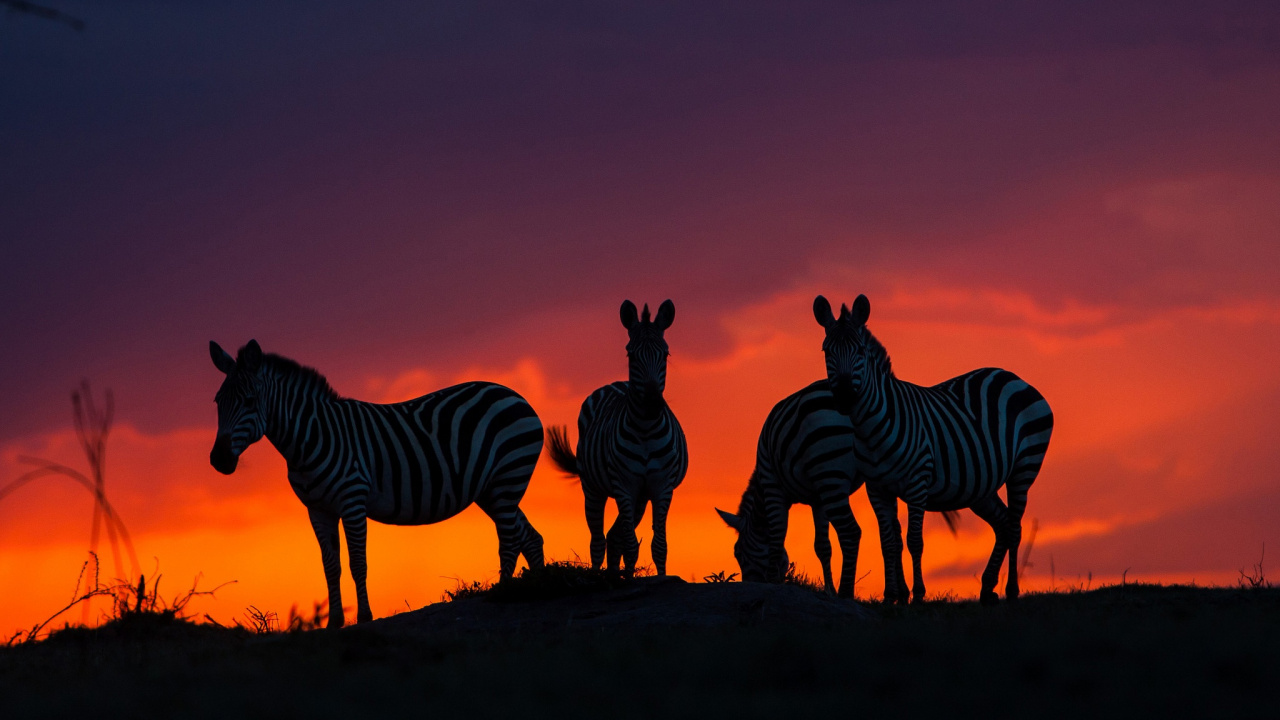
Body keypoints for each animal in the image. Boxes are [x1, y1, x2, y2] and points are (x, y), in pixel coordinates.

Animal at [208, 339, 545, 627]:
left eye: (250, 401)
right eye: (217, 402)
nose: (219, 460)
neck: (310, 438)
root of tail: (513, 393)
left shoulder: (352, 499)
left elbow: (358, 563)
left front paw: (364, 618)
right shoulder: (318, 509)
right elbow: (331, 566)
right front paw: (334, 623)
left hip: (507, 477)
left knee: (510, 540)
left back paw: (503, 593)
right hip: (493, 489)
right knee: (530, 537)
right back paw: (536, 588)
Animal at [545, 299, 688, 576]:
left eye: (665, 354)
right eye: (631, 355)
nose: (652, 403)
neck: (646, 429)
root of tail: (616, 383)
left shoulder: (661, 486)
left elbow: (659, 545)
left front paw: (660, 578)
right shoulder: (624, 486)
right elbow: (630, 546)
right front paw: (630, 579)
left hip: (640, 497)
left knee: (614, 537)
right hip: (593, 489)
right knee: (599, 540)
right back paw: (601, 576)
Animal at [714, 380, 865, 597]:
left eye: (738, 553)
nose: (750, 585)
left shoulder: (772, 487)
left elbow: (776, 542)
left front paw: (773, 584)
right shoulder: (818, 500)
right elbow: (822, 547)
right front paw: (829, 592)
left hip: (830, 473)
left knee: (850, 532)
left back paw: (846, 595)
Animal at [814, 294, 1054, 604]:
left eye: (861, 351)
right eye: (826, 350)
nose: (844, 397)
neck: (871, 430)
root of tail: (1013, 376)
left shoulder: (917, 482)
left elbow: (915, 541)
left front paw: (917, 595)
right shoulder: (877, 489)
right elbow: (887, 542)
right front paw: (891, 597)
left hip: (1023, 469)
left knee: (1013, 526)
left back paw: (1011, 591)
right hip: (980, 485)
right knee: (1002, 523)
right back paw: (987, 588)